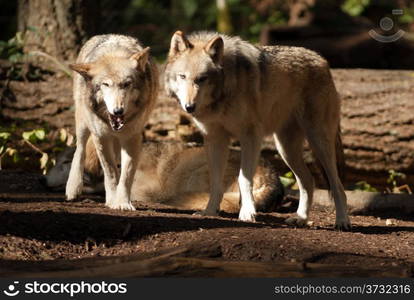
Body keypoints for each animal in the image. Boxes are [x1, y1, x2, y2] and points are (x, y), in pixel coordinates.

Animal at [45, 141, 284, 213]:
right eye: (56, 162)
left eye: (66, 163)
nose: (41, 180)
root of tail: (274, 178)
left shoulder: (149, 189)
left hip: (195, 170)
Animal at [65, 34, 158, 210]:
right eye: (106, 84)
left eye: (127, 84)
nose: (118, 111)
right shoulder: (101, 137)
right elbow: (111, 171)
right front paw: (113, 200)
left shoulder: (132, 138)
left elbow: (126, 174)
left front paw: (122, 202)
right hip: (83, 122)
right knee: (80, 149)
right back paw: (73, 188)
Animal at [163, 30, 350, 229]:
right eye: (182, 76)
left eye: (202, 79)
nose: (189, 107)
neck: (223, 91)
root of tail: (322, 61)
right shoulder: (215, 140)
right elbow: (215, 181)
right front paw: (209, 211)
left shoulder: (250, 136)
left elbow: (244, 179)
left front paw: (247, 212)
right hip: (286, 149)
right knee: (308, 181)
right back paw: (300, 218)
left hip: (319, 142)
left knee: (338, 186)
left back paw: (342, 221)